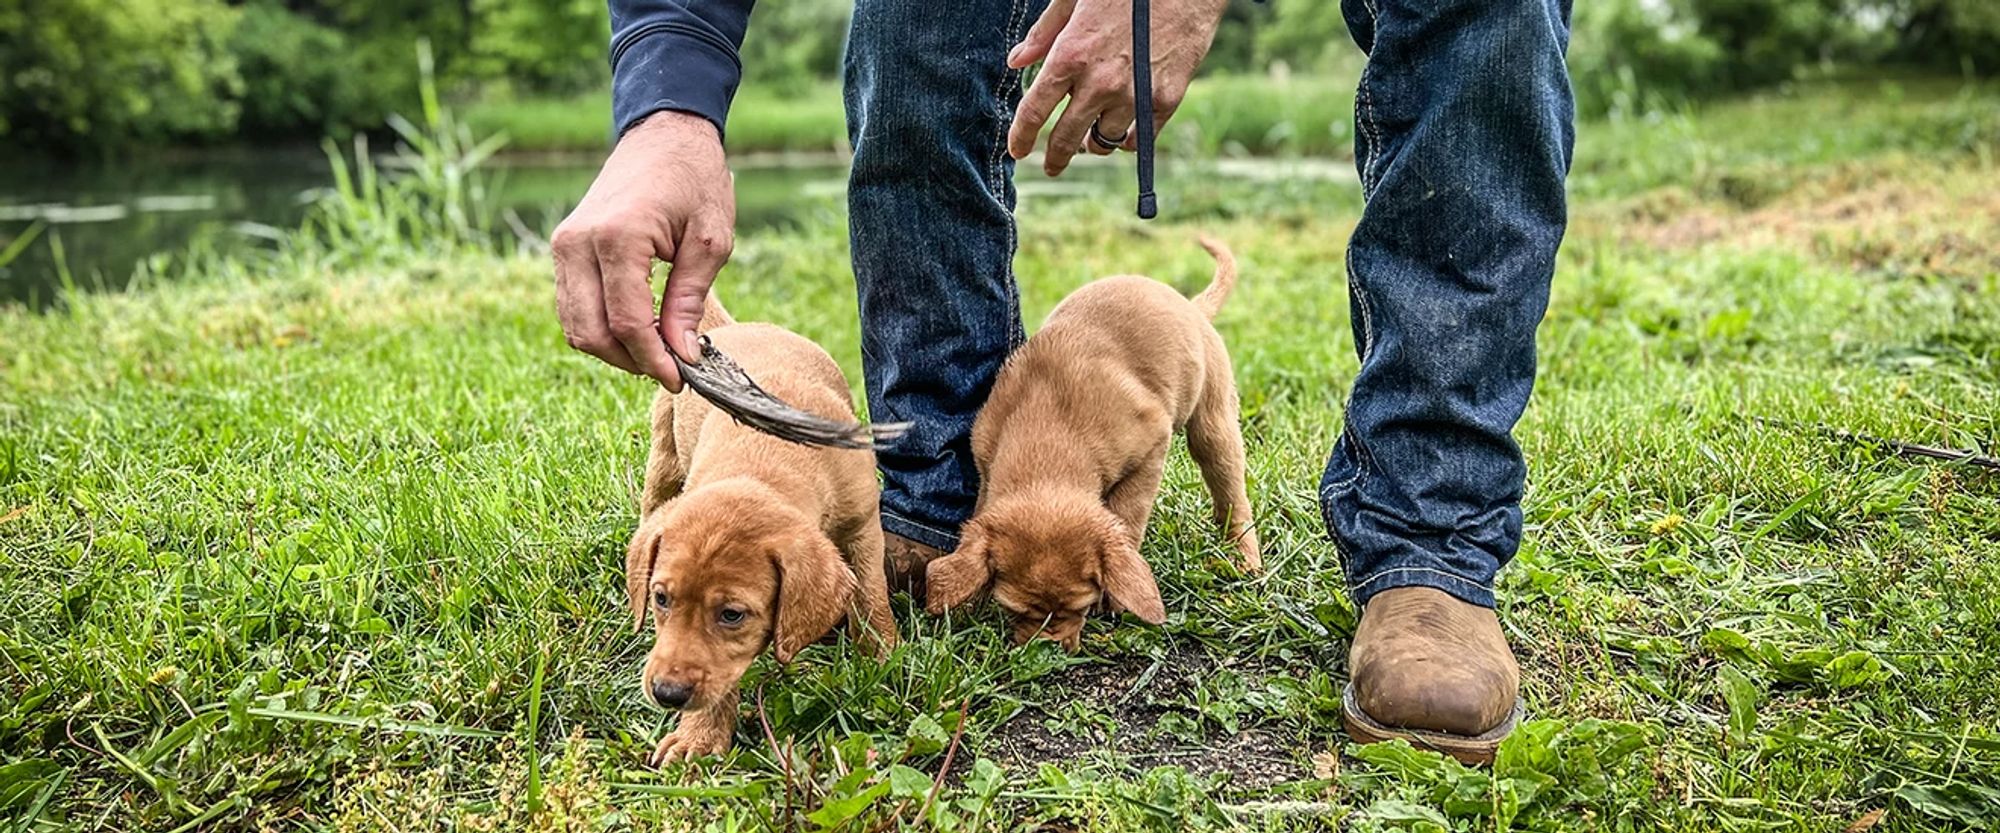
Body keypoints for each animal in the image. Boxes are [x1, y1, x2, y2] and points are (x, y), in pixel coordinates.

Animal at [624, 296, 900, 764]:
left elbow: (870, 595)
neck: (767, 459)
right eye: (661, 599)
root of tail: (732, 328)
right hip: (664, 454)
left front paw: (882, 657)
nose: (666, 693)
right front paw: (700, 736)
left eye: (732, 614)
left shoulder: (863, 525)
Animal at [916, 237, 1248, 648]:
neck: (1048, 437)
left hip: (1213, 425)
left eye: (1083, 607)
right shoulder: (985, 463)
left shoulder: (1150, 449)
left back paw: (1247, 559)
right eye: (1013, 609)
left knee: (1232, 496)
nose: (1048, 649)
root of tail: (1191, 306)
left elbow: (1128, 516)